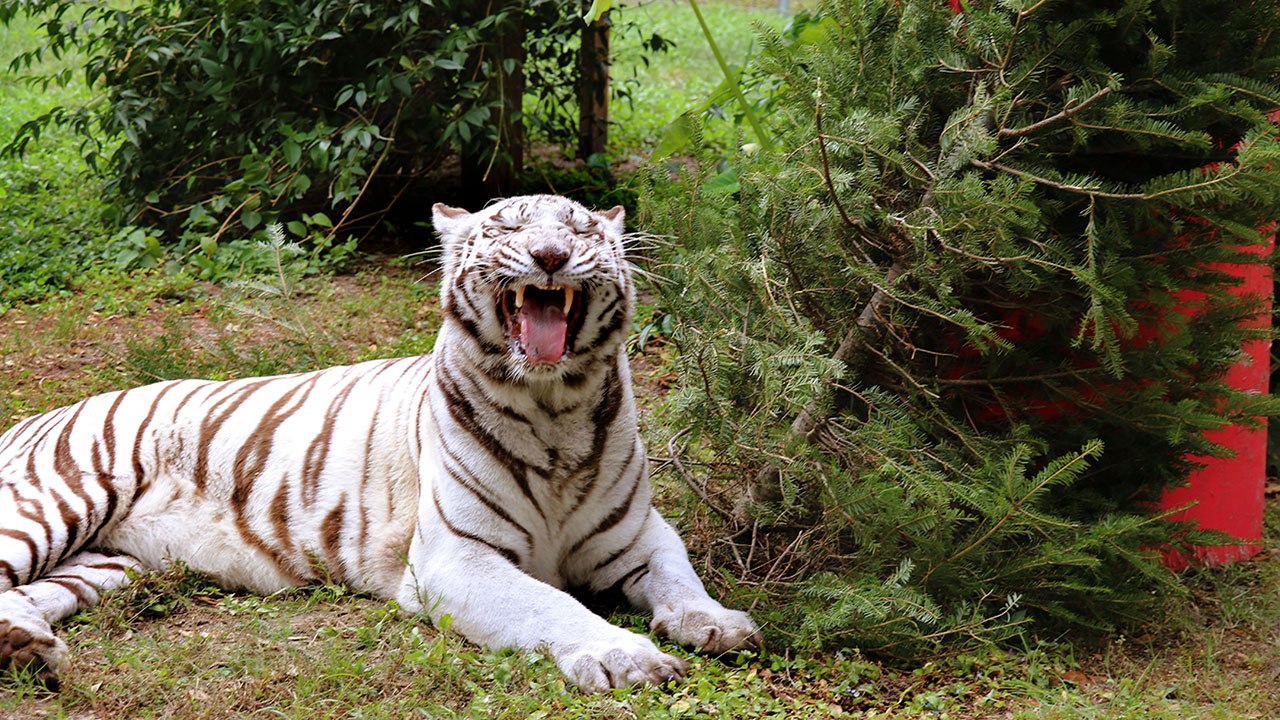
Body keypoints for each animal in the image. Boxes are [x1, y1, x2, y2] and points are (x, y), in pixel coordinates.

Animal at [0, 194, 760, 692]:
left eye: (578, 228)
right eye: (509, 226)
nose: (551, 255)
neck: (556, 411)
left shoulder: (639, 533)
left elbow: (679, 578)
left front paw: (719, 623)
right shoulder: (457, 559)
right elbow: (551, 605)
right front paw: (629, 657)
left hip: (107, 562)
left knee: (28, 594)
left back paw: (27, 646)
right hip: (52, 501)